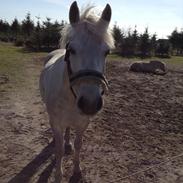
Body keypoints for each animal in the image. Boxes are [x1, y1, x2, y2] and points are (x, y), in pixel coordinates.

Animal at [39, 1, 113, 182]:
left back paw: (68, 144)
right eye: (71, 50)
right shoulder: (56, 122)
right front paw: (58, 175)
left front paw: (77, 170)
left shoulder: (83, 122)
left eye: (107, 52)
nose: (90, 103)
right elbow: (58, 150)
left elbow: (79, 145)